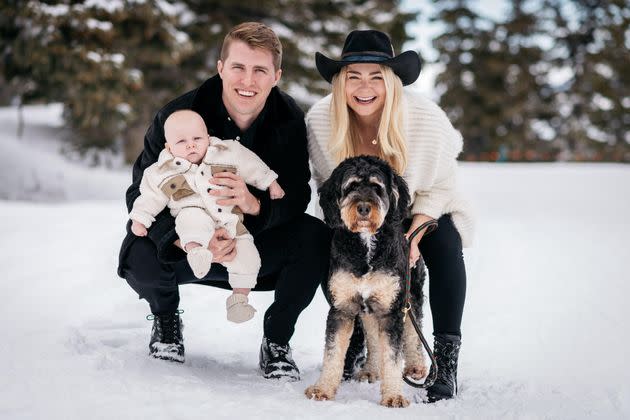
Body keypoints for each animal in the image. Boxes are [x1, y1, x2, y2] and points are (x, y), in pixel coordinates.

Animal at [306, 155, 430, 406]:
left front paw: (394, 396)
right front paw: (322, 389)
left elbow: (393, 356)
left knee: (414, 330)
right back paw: (371, 369)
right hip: (370, 308)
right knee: (373, 337)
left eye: (376, 186)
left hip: (410, 294)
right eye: (351, 186)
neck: (366, 245)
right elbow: (332, 353)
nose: (363, 208)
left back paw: (416, 365)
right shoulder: (342, 308)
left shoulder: (392, 310)